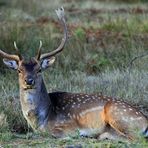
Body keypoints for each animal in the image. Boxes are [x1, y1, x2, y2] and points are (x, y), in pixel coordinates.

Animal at [0, 7, 147, 142]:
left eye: (39, 70)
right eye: (19, 70)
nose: (29, 80)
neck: (41, 119)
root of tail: (145, 121)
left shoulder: (68, 124)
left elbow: (53, 132)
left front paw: (80, 134)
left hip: (116, 113)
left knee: (135, 138)